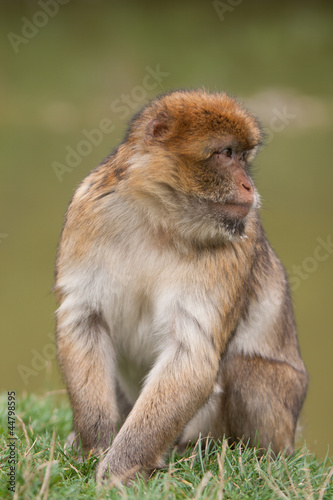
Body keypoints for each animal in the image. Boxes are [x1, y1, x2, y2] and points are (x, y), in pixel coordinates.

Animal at [54, 88, 306, 482]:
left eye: (243, 157)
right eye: (226, 154)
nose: (249, 186)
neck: (159, 218)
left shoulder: (238, 242)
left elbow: (191, 354)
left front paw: (117, 471)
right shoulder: (87, 210)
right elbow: (84, 320)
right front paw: (93, 449)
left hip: (282, 415)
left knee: (243, 370)